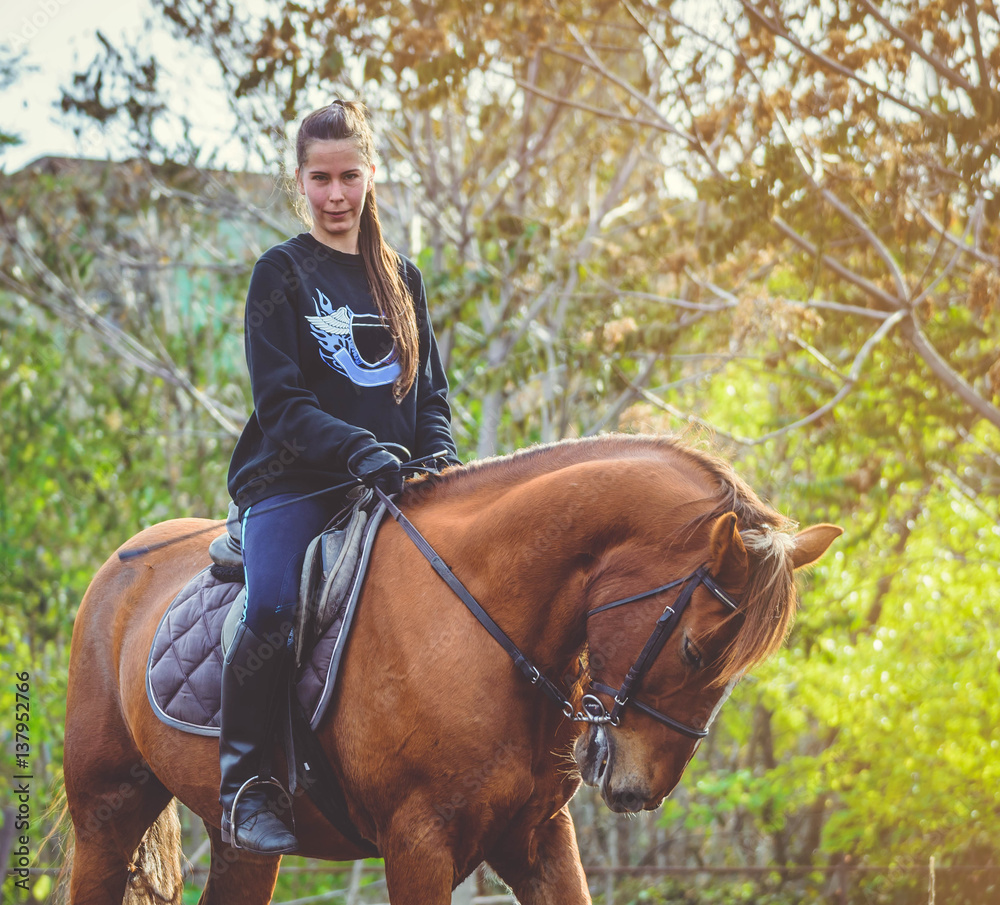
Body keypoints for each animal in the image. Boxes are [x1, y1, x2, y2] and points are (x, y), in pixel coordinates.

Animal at [62, 434, 840, 900]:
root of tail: (118, 569)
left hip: (241, 844)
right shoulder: (419, 843)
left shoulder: (536, 835)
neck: (485, 622)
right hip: (106, 813)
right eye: (696, 648)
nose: (636, 790)